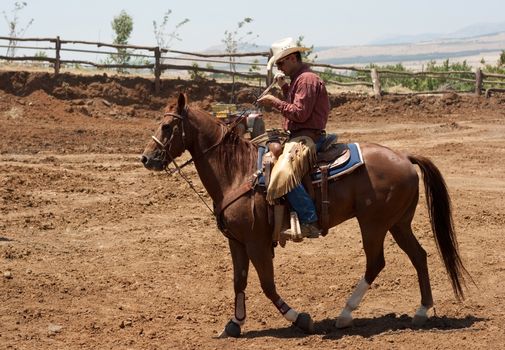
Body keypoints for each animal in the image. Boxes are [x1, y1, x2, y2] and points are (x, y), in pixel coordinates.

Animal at [141, 93, 468, 336]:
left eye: (167, 127)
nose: (146, 158)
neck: (237, 172)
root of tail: (404, 157)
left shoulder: (257, 243)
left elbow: (267, 284)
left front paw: (300, 318)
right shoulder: (236, 241)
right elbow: (239, 281)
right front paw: (234, 324)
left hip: (373, 224)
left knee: (376, 262)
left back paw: (345, 314)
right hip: (397, 223)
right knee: (419, 256)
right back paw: (421, 311)